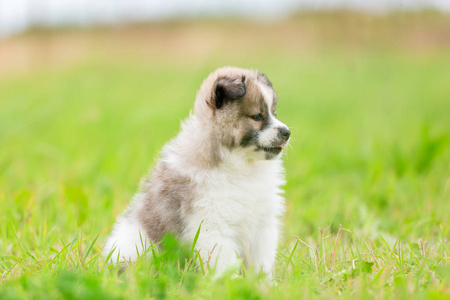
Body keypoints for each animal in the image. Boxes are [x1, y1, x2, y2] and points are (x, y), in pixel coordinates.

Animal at [103, 65, 290, 276]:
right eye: (257, 116)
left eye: (274, 113)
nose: (287, 132)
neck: (241, 166)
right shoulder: (212, 225)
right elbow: (224, 263)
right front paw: (231, 282)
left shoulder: (262, 225)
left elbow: (261, 262)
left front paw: (264, 282)